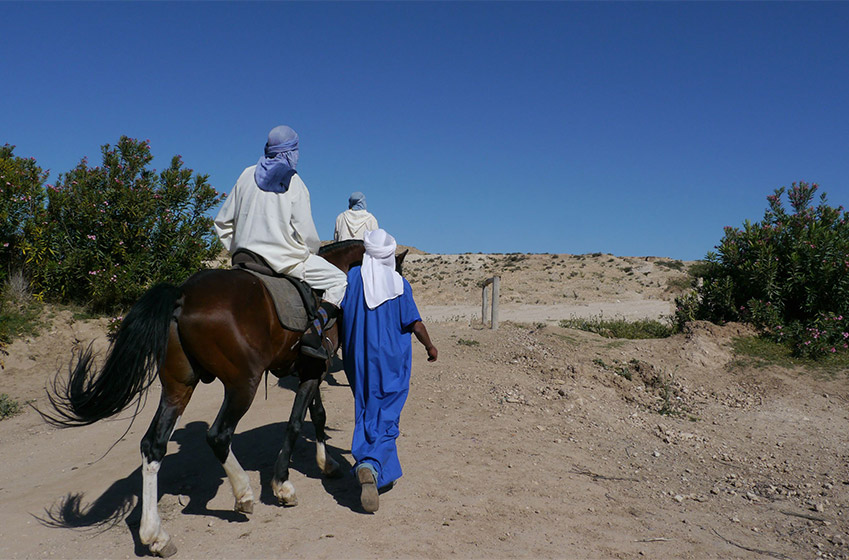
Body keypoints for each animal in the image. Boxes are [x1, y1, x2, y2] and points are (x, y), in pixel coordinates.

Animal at [44, 240, 390, 556]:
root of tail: (183, 294)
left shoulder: (312, 369)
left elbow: (317, 415)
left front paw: (326, 464)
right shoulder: (315, 369)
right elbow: (294, 423)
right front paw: (282, 485)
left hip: (178, 387)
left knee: (153, 445)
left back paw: (156, 535)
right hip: (242, 385)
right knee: (218, 435)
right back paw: (243, 493)